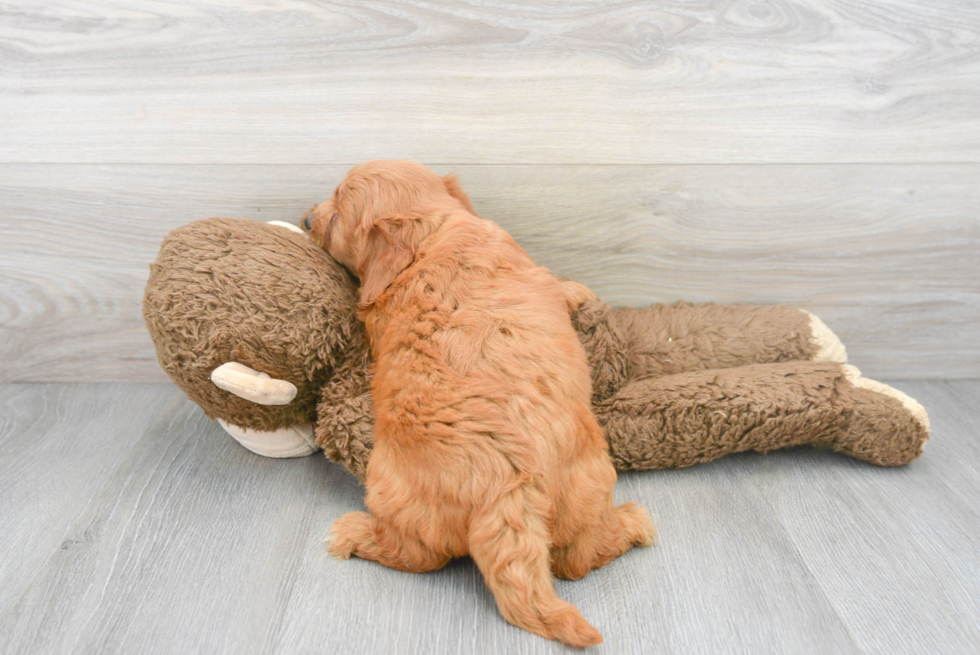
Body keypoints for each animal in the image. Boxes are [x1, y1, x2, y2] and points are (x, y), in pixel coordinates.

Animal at [300, 160, 652, 644]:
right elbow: (562, 286)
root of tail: (505, 487)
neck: (430, 233)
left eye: (335, 217)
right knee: (573, 558)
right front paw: (583, 294)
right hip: (584, 488)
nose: (305, 219)